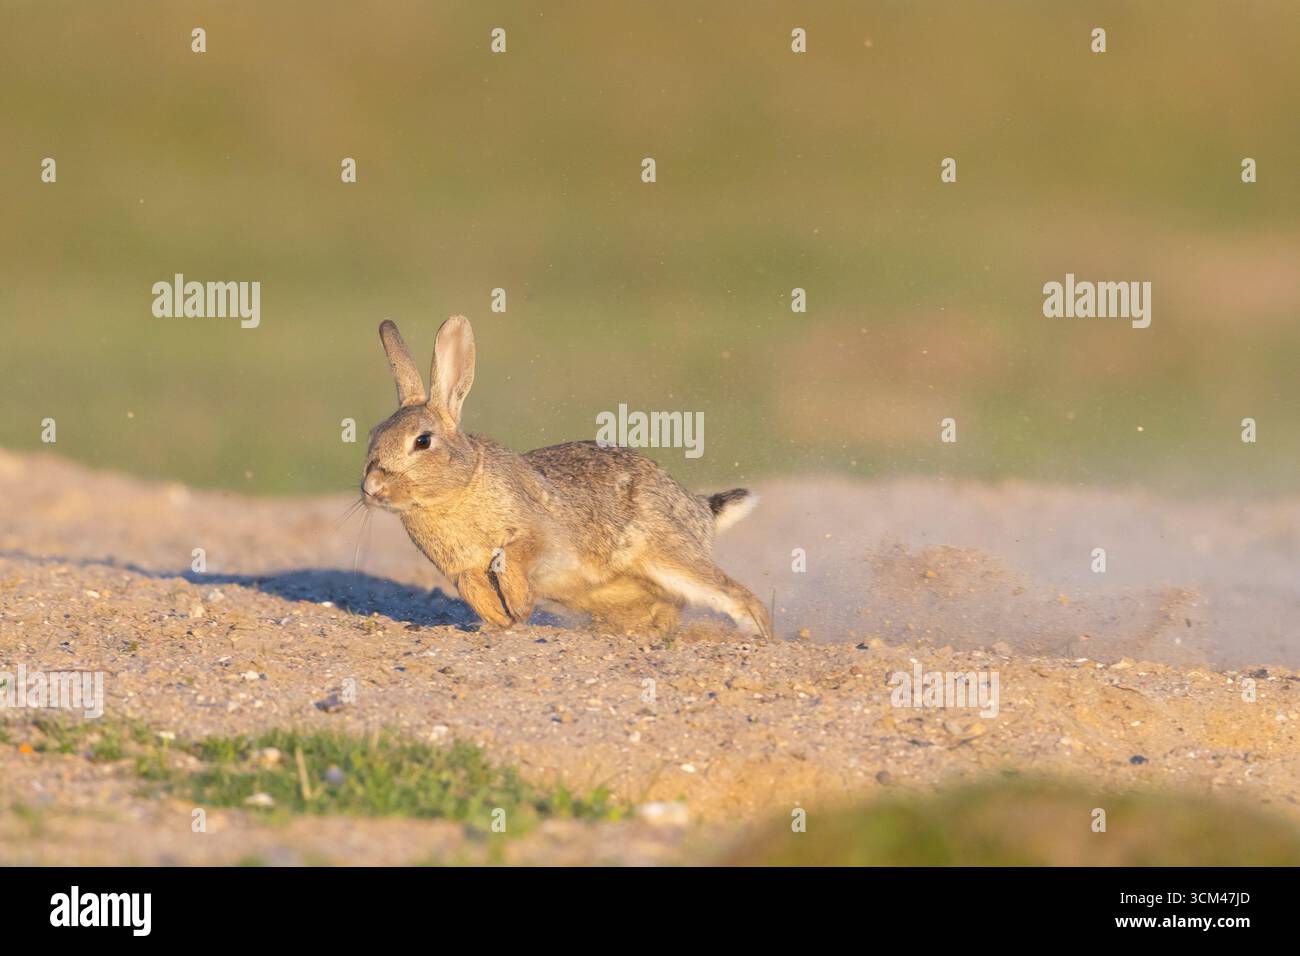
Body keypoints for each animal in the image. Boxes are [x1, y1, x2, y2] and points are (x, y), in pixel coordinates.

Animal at [361, 315, 774, 639]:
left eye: (423, 441)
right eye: (373, 435)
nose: (371, 488)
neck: (455, 491)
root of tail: (700, 511)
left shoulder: (538, 535)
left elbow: (513, 559)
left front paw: (518, 607)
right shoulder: (461, 571)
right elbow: (473, 589)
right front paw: (498, 621)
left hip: (669, 555)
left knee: (737, 596)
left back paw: (758, 634)